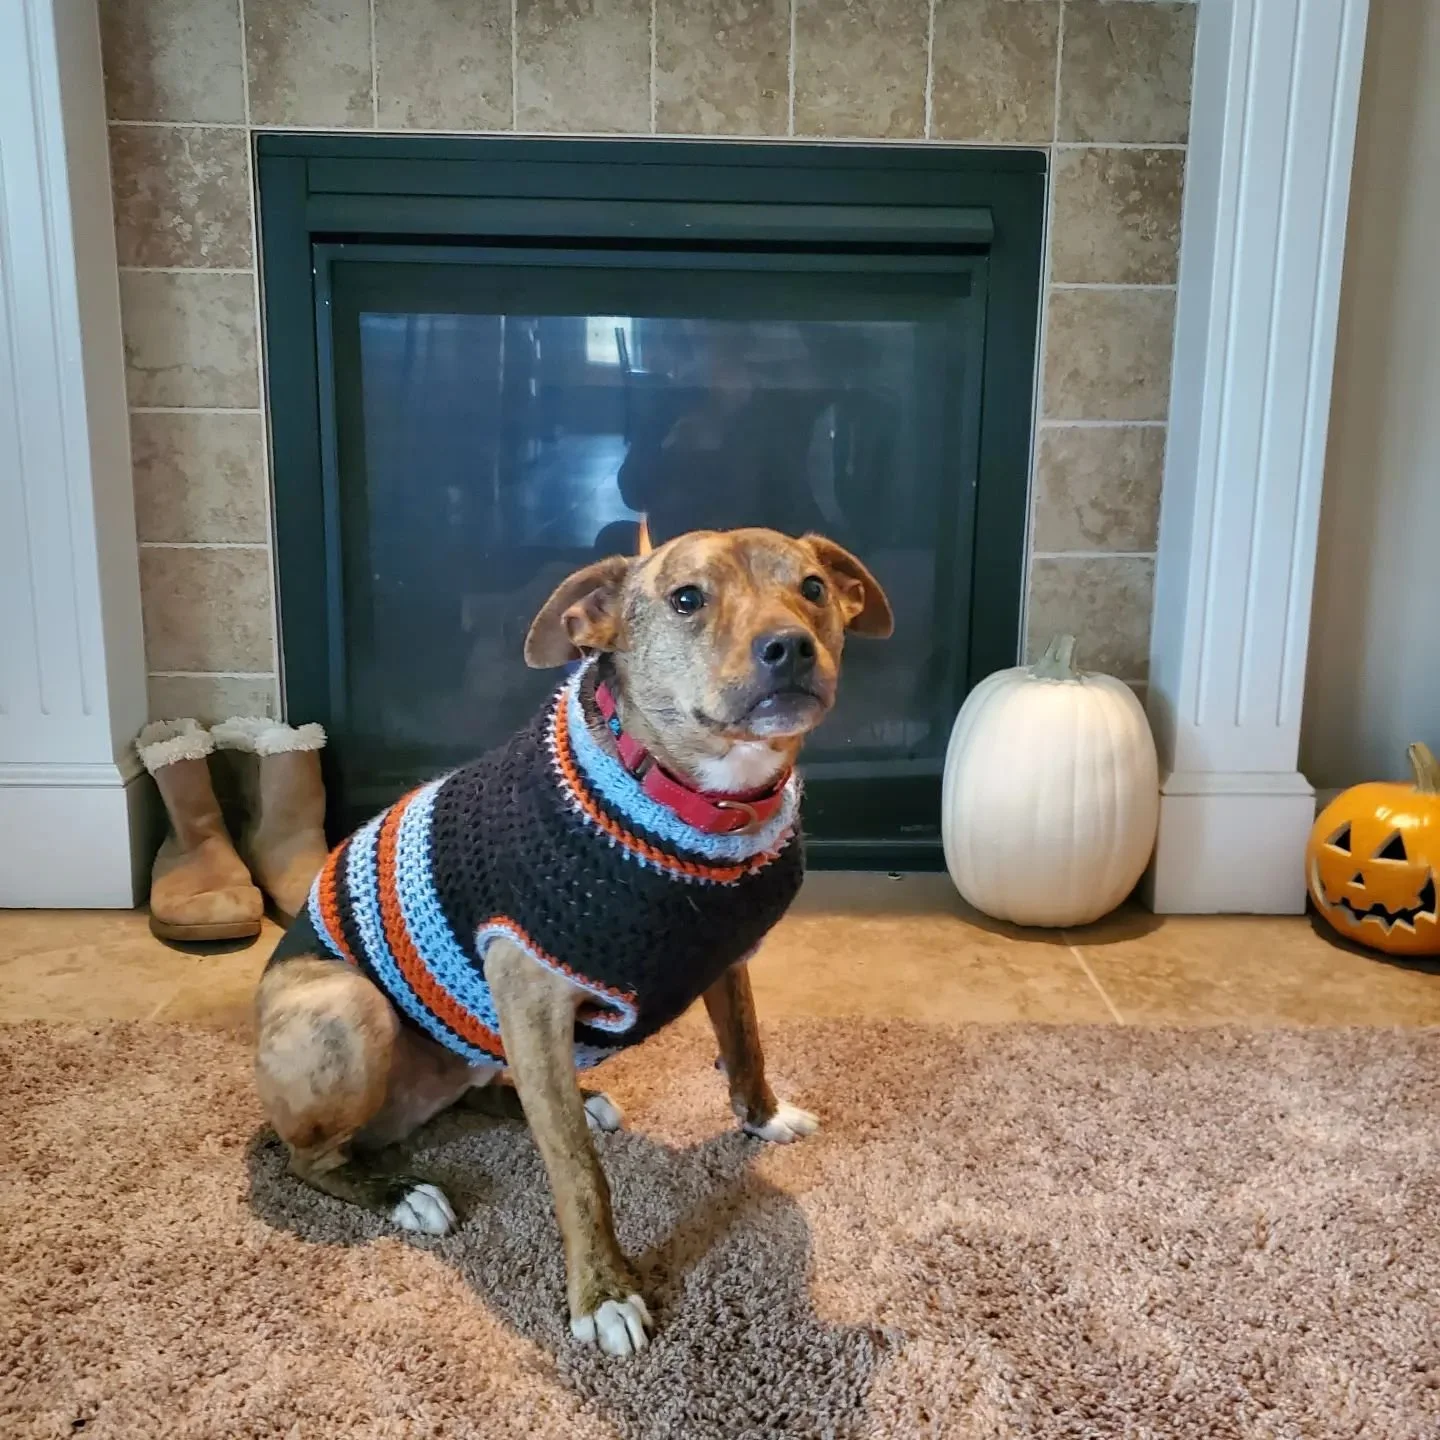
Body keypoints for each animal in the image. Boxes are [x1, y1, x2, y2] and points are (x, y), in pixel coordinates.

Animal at [254, 527, 893, 1356]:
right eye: (687, 598)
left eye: (813, 588)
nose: (788, 646)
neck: (694, 806)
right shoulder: (528, 989)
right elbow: (578, 1173)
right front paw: (605, 1294)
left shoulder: (724, 959)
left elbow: (747, 1045)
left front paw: (763, 1116)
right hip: (348, 1008)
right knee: (308, 1157)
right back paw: (401, 1193)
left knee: (490, 1092)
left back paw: (556, 1102)